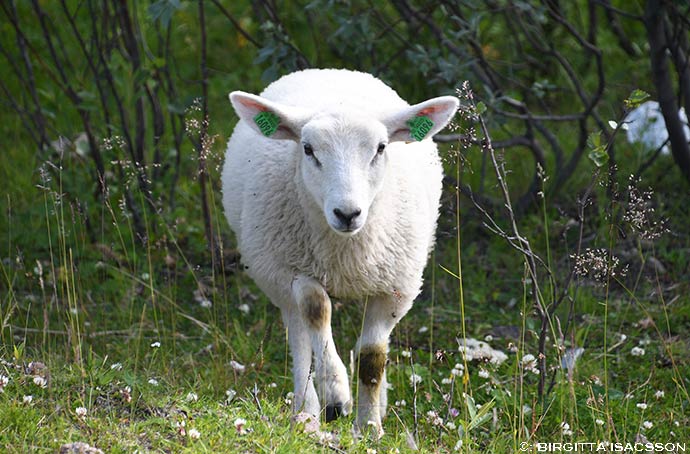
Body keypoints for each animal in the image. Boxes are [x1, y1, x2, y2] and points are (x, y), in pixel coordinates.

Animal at [222, 68, 458, 436]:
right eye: (308, 149)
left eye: (380, 148)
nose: (347, 213)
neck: (345, 253)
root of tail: (329, 71)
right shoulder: (293, 270)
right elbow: (316, 310)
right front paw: (336, 394)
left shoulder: (396, 288)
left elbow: (372, 357)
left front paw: (370, 426)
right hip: (276, 275)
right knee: (301, 340)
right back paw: (306, 412)